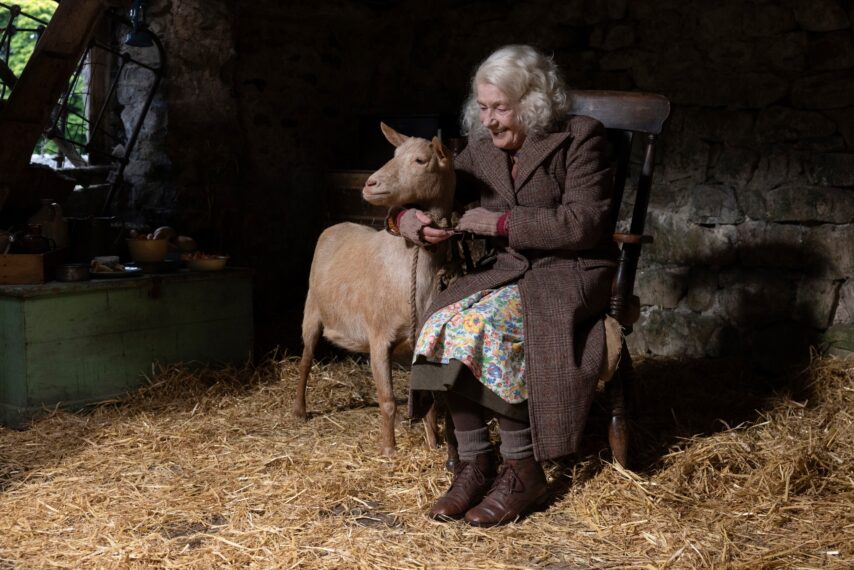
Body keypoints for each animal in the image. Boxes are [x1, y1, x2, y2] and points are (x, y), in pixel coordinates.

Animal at [294, 123, 455, 456]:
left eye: (421, 161)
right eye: (393, 153)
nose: (370, 184)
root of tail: (337, 225)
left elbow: (429, 403)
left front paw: (434, 443)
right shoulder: (379, 337)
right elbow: (388, 401)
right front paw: (389, 450)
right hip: (311, 312)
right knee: (305, 362)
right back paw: (299, 411)